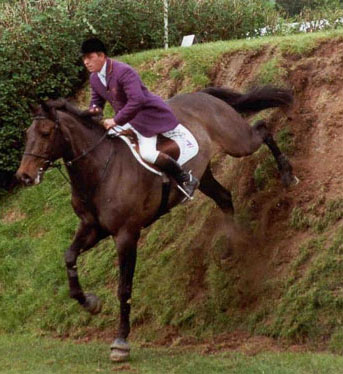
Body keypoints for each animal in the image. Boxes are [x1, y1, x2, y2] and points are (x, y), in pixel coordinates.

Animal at [15, 85, 296, 362]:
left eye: (46, 132)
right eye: (28, 134)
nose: (24, 176)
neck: (99, 169)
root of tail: (202, 95)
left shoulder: (126, 235)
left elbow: (124, 288)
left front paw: (121, 342)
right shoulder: (93, 229)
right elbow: (69, 257)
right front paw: (90, 303)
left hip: (237, 141)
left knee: (262, 129)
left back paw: (287, 173)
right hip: (204, 174)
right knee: (225, 197)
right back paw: (229, 242)